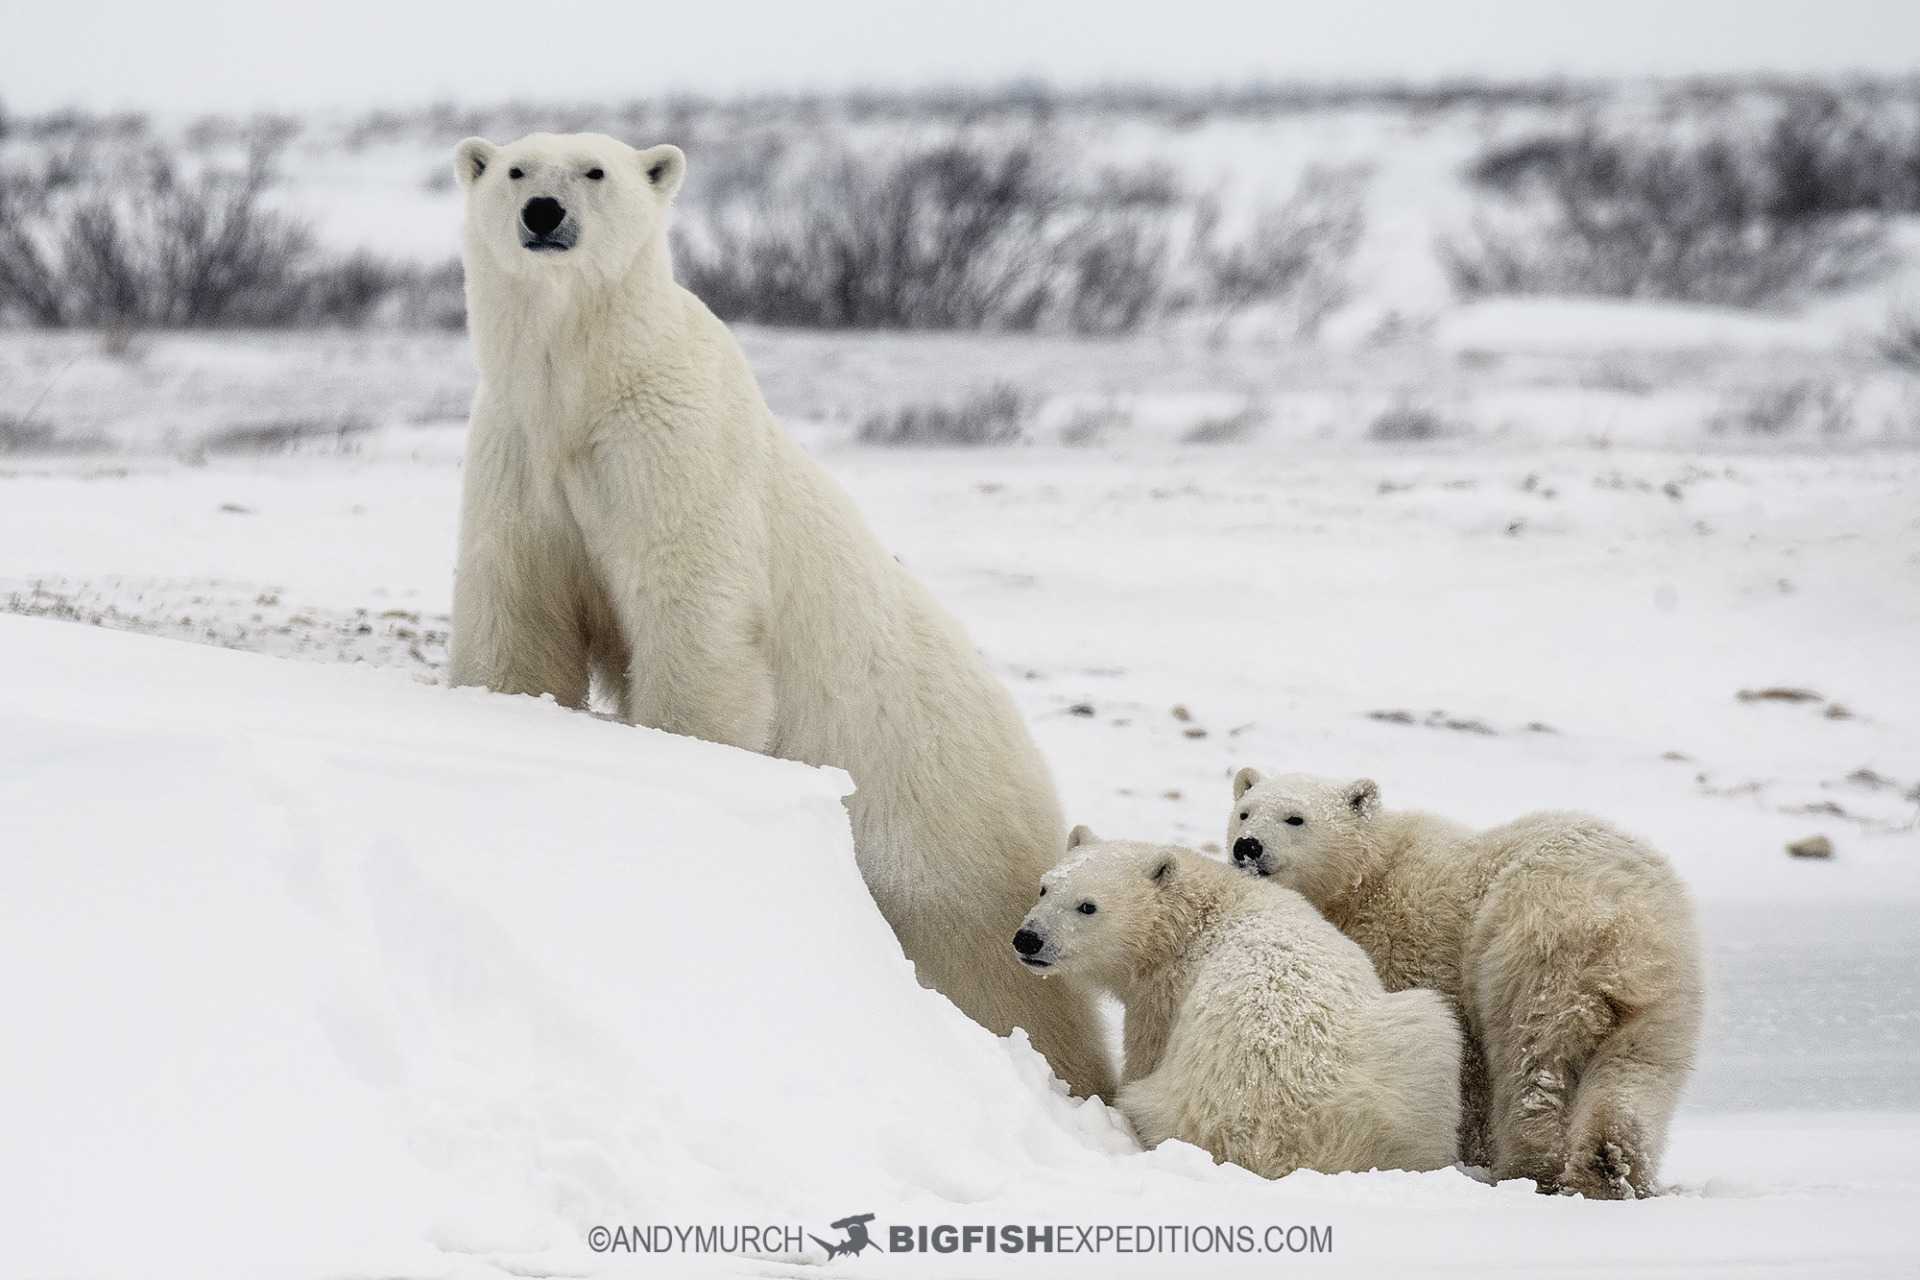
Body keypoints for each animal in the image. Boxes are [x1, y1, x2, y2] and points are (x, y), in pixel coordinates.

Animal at [446, 132, 1114, 1100]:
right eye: (515, 170)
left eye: (595, 171)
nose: (544, 214)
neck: (584, 379)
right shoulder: (518, 457)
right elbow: (518, 620)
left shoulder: (674, 452)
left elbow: (695, 623)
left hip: (947, 836)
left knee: (998, 976)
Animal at [1013, 828, 1463, 1178]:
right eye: (1045, 887)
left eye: (1087, 906)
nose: (1028, 939)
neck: (1196, 920)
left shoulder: (1163, 1001)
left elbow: (1143, 1057)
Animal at [1226, 770, 1704, 1198]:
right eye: (1245, 811)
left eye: (1295, 818)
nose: (1246, 847)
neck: (1369, 876)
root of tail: (1623, 926)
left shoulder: (1420, 947)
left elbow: (1469, 1067)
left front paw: (1470, 1153)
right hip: (1666, 993)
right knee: (1636, 1072)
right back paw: (1612, 1169)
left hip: (1531, 958)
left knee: (1531, 1066)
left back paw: (1531, 1171)